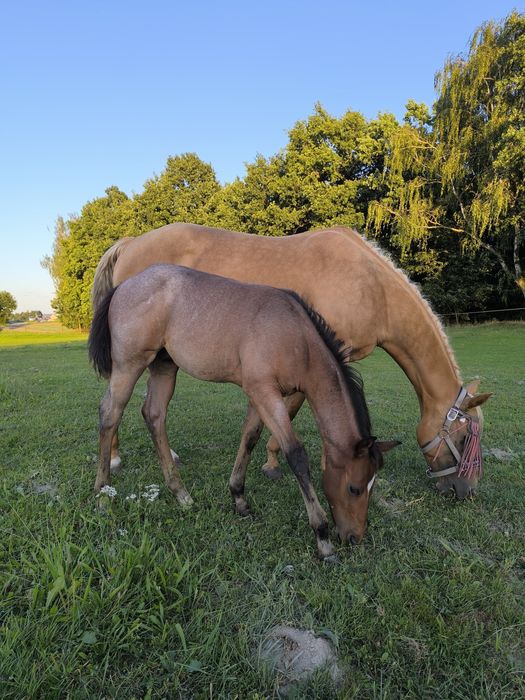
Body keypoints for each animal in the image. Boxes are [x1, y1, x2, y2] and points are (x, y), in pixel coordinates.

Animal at [88, 264, 399, 559]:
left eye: (371, 487)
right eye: (354, 488)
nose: (354, 537)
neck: (296, 338)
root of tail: (123, 285)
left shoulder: (261, 395)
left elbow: (249, 438)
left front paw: (238, 498)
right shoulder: (264, 392)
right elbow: (296, 454)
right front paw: (322, 538)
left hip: (165, 366)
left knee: (154, 415)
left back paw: (181, 494)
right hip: (129, 365)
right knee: (109, 413)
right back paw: (103, 495)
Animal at [92, 223, 491, 498]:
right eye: (463, 436)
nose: (466, 490)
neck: (371, 288)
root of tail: (131, 243)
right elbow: (298, 408)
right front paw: (277, 462)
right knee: (115, 401)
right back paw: (112, 460)